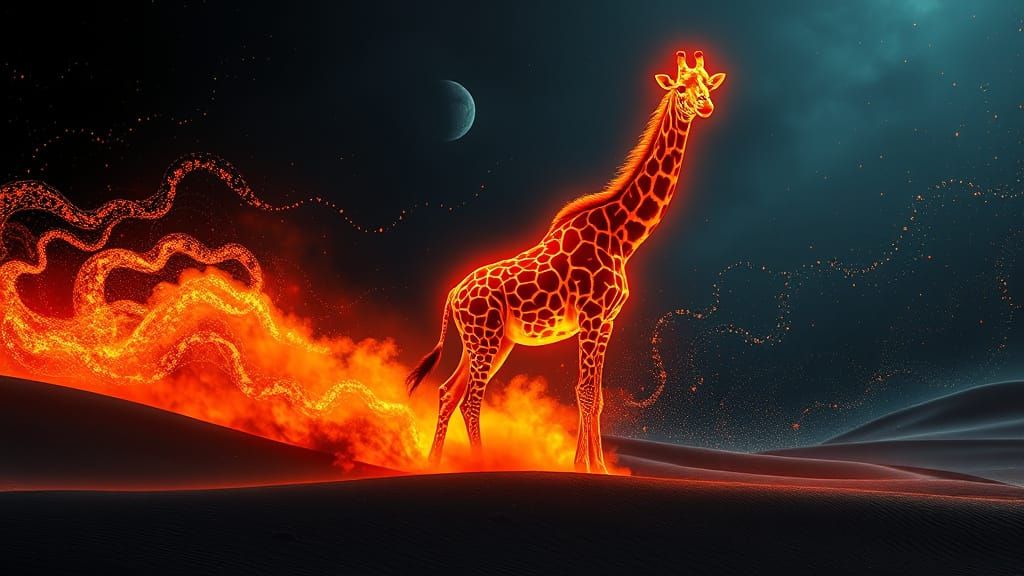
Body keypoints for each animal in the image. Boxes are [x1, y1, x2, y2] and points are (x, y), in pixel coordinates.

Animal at [407, 50, 726, 472]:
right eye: (680, 88)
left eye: (707, 83)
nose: (705, 106)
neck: (622, 238)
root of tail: (453, 295)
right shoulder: (591, 316)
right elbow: (586, 392)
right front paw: (589, 467)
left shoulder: (607, 321)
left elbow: (595, 395)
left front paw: (593, 466)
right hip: (485, 337)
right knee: (472, 398)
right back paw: (481, 464)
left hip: (489, 341)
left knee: (448, 391)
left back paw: (434, 462)